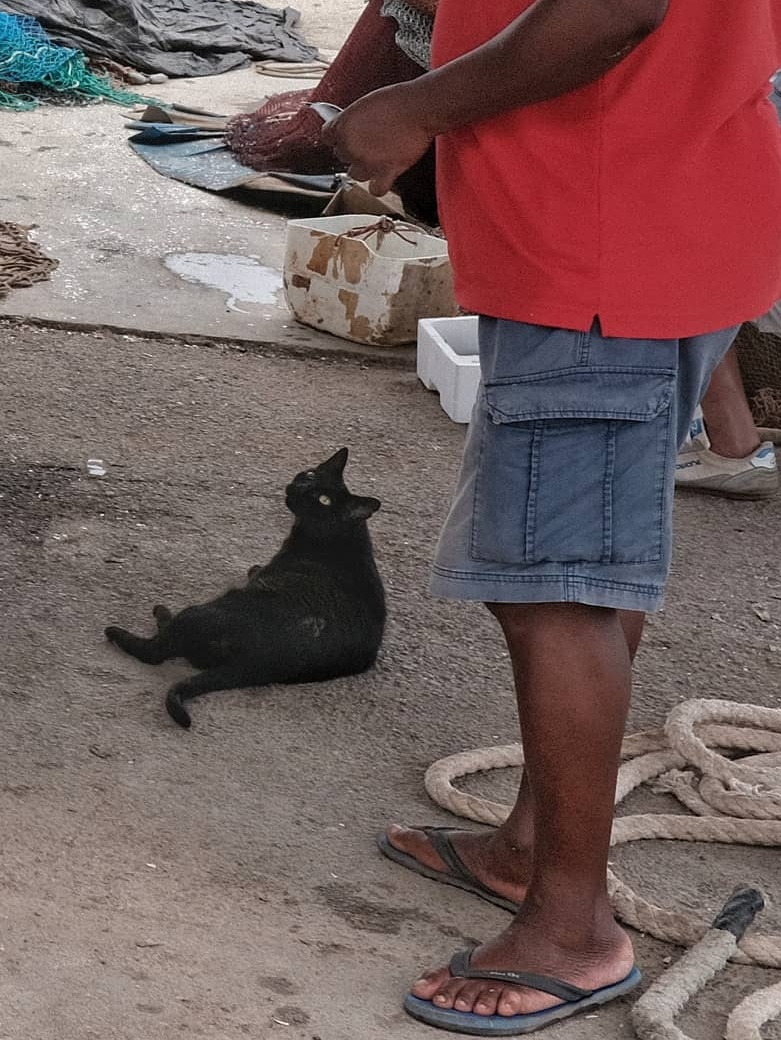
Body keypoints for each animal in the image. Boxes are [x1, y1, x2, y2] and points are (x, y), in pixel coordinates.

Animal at [103, 449, 384, 732]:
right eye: (310, 475)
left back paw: (137, 623)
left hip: (205, 611)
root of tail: (259, 664)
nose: (299, 487)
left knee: (156, 651)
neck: (341, 536)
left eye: (324, 500)